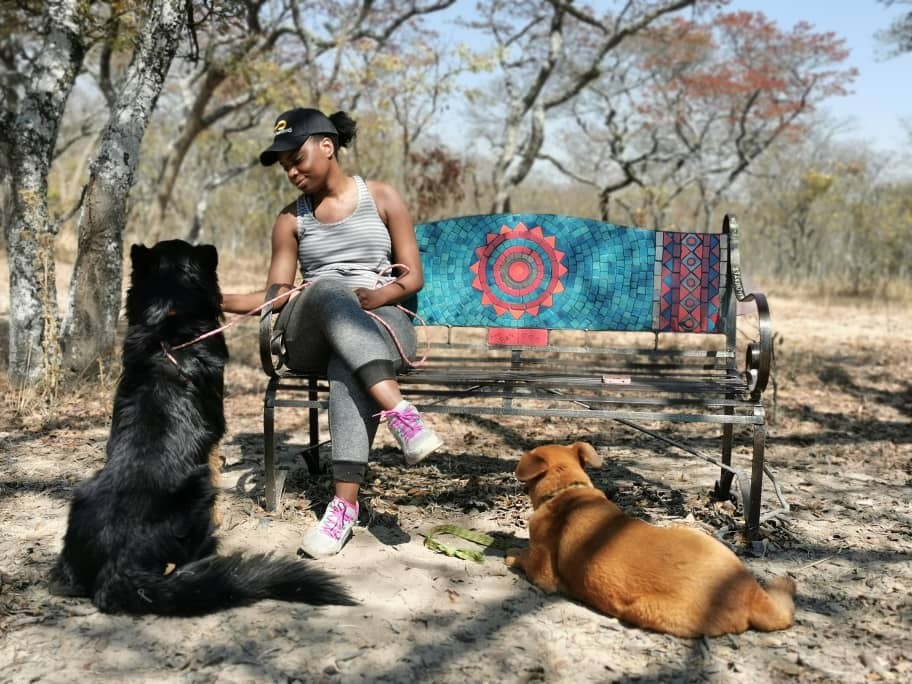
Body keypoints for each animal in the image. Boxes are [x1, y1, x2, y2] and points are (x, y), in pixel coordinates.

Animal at [48, 240, 356, 616]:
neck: (170, 327)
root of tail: (116, 566)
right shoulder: (215, 431)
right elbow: (214, 459)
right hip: (197, 494)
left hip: (82, 497)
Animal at [506, 440, 800, 640]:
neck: (566, 491)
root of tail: (750, 592)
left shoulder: (542, 572)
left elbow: (523, 557)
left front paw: (511, 555)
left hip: (641, 609)